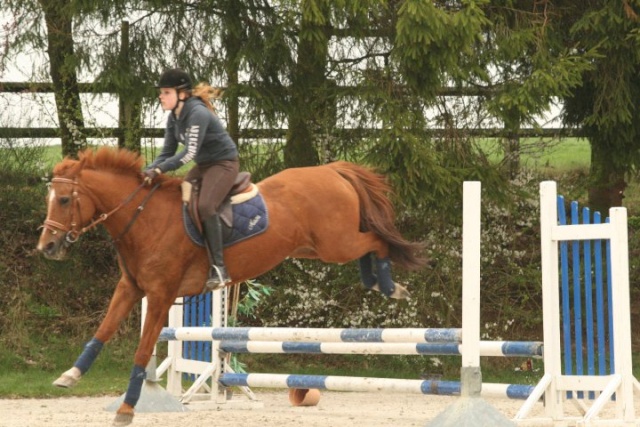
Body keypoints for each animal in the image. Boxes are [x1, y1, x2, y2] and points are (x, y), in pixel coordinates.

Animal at [35, 146, 424, 424]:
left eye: (65, 200)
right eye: (50, 199)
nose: (47, 247)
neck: (145, 218)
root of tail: (330, 170)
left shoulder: (161, 295)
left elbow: (143, 350)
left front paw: (127, 409)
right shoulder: (130, 288)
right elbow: (102, 331)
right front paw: (70, 375)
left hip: (336, 243)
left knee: (378, 240)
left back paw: (389, 286)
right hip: (316, 247)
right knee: (370, 243)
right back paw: (377, 282)